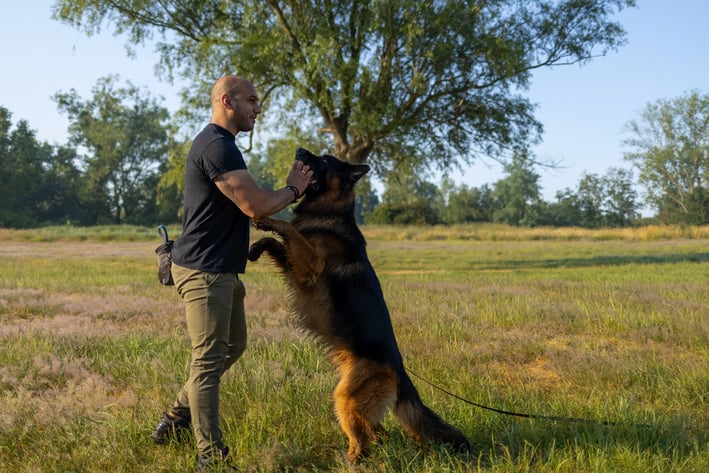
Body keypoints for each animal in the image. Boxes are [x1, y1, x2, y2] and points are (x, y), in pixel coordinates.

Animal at [246, 148, 468, 460]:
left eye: (324, 160)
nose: (299, 150)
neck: (329, 211)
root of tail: (400, 372)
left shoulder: (310, 265)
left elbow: (289, 229)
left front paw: (269, 220)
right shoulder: (295, 266)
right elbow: (278, 243)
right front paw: (257, 245)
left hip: (345, 398)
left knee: (364, 440)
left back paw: (352, 460)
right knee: (379, 433)